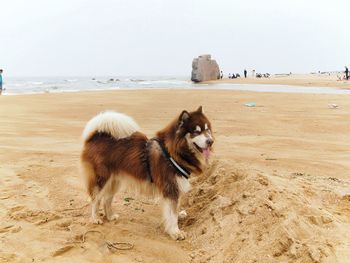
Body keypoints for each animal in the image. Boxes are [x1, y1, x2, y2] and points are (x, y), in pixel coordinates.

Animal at [80, 106, 213, 240]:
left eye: (207, 130)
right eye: (196, 132)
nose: (210, 141)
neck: (173, 152)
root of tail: (96, 135)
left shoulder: (176, 187)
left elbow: (175, 209)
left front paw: (178, 217)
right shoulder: (170, 188)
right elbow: (172, 213)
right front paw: (175, 231)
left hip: (114, 181)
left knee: (107, 199)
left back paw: (110, 216)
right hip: (101, 179)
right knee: (95, 199)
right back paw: (95, 218)